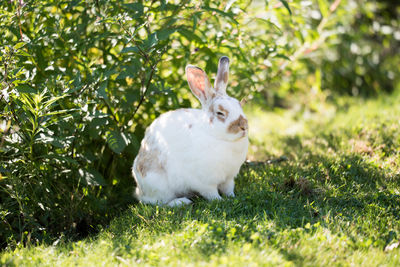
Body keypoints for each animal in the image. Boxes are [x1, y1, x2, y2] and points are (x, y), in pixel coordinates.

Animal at [133, 56, 248, 207]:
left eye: (239, 105)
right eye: (220, 113)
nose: (244, 126)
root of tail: (139, 190)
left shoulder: (229, 178)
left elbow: (228, 189)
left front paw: (232, 198)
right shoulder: (205, 182)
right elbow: (211, 193)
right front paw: (219, 201)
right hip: (157, 183)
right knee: (159, 202)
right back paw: (182, 201)